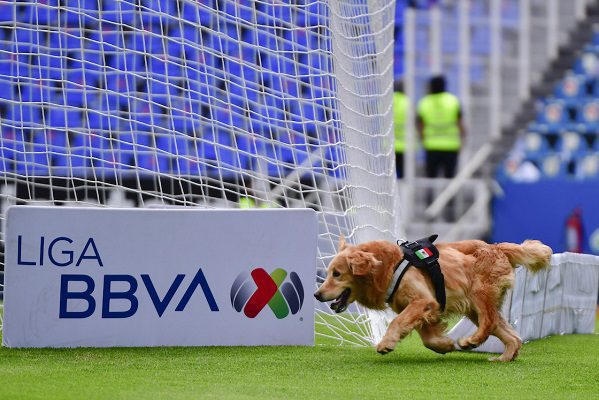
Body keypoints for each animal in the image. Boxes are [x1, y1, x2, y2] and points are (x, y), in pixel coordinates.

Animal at [314, 236, 552, 360]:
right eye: (328, 273)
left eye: (337, 274)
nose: (317, 294)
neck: (388, 267)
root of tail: (497, 247)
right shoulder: (424, 308)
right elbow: (427, 338)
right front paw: (444, 345)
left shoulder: (423, 301)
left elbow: (396, 322)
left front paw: (386, 343)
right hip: (474, 308)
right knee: (512, 336)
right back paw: (503, 358)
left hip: (479, 295)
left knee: (490, 321)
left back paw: (471, 341)